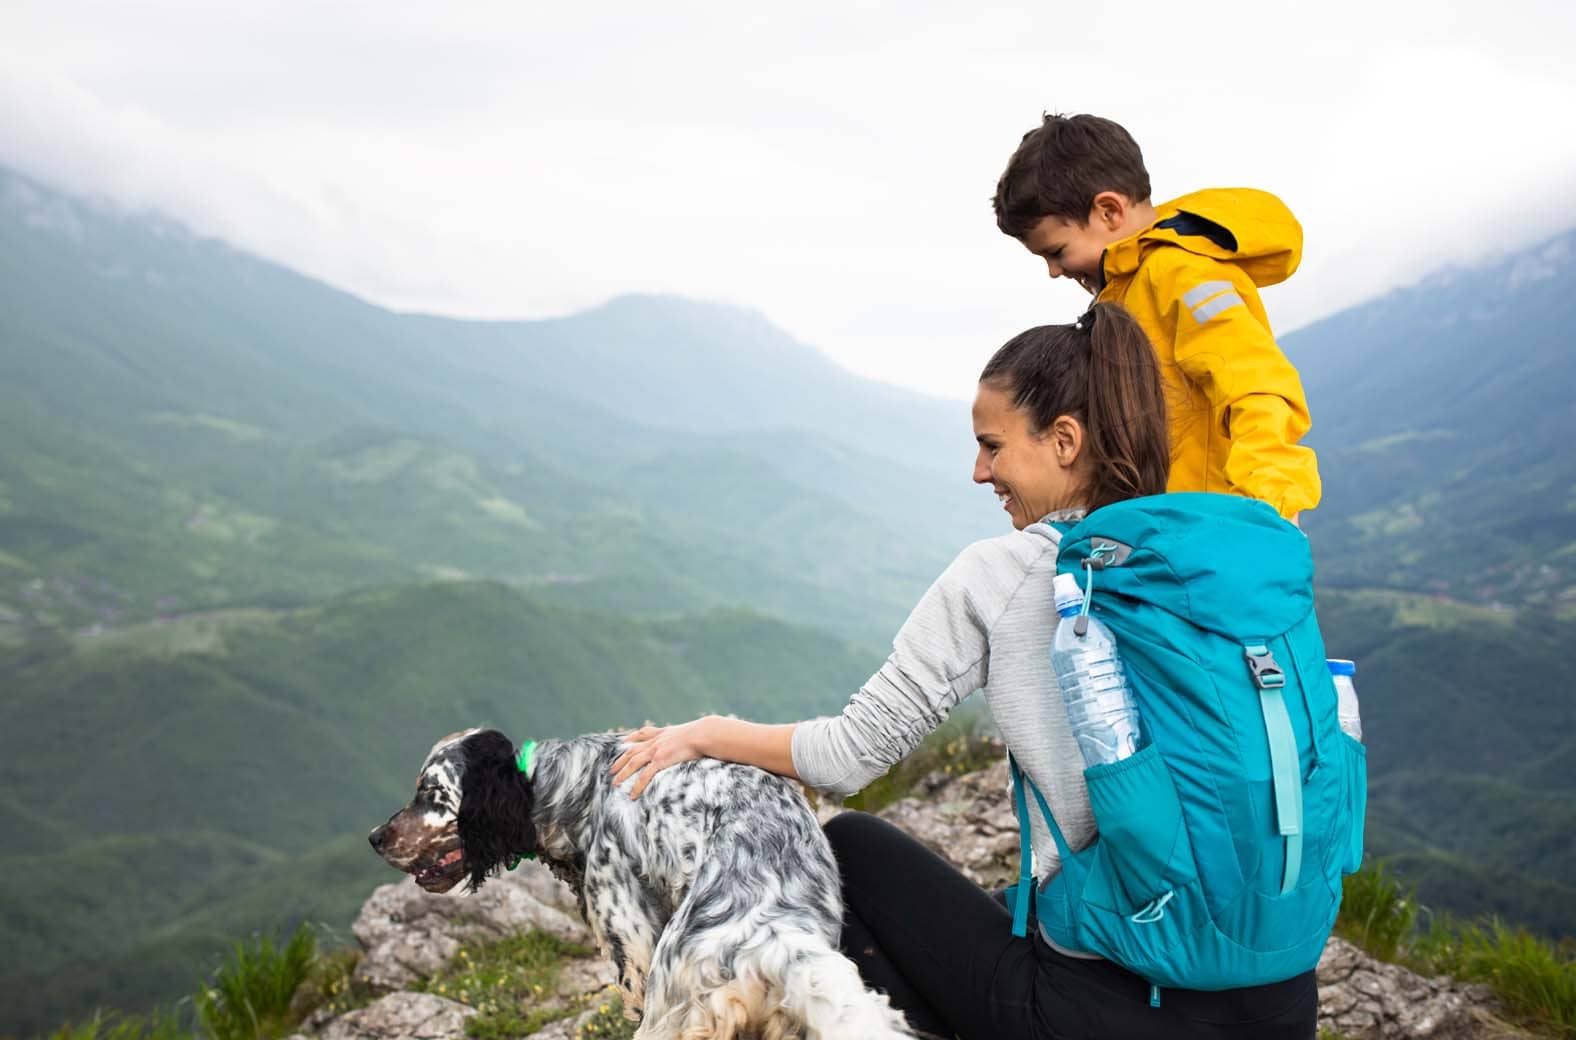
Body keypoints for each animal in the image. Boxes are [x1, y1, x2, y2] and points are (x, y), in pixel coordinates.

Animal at [367, 731, 914, 1040]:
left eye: (431, 793)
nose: (374, 837)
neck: (574, 785)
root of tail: (776, 939)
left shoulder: (631, 947)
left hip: (666, 1012)